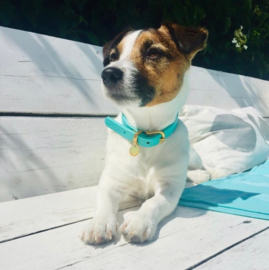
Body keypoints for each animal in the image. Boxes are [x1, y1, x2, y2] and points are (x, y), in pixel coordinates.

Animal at [80, 22, 206, 244]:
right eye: (113, 56)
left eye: (153, 53)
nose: (108, 73)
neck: (146, 135)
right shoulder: (111, 182)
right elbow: (104, 202)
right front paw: (99, 224)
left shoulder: (170, 187)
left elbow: (154, 202)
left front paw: (139, 221)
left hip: (193, 158)